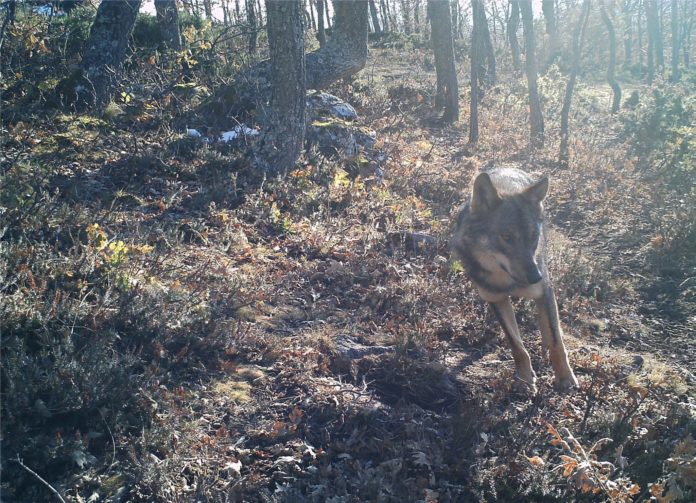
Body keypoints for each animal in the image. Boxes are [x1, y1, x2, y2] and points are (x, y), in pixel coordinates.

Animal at [451, 167, 578, 393]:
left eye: (533, 236)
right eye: (506, 237)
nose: (536, 277)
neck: (507, 282)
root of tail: (510, 167)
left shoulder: (544, 291)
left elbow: (556, 341)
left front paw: (564, 378)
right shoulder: (496, 300)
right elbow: (516, 344)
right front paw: (525, 379)